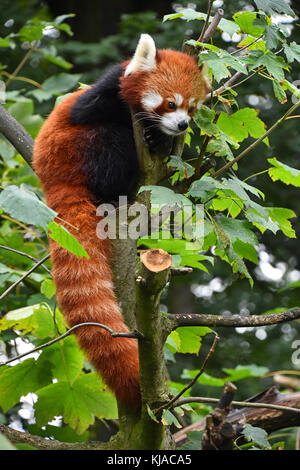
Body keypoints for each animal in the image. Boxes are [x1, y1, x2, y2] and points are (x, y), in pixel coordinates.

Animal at [32, 33, 209, 410]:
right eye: (170, 104)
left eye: (191, 108)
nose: (182, 125)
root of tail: (54, 180)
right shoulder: (104, 90)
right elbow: (89, 109)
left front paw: (161, 138)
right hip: (80, 149)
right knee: (114, 139)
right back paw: (113, 191)